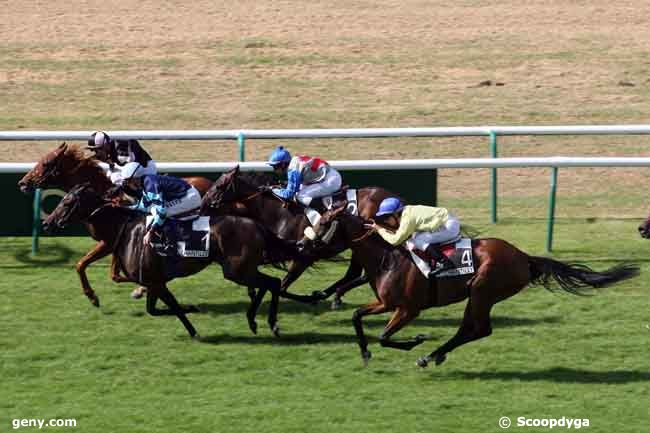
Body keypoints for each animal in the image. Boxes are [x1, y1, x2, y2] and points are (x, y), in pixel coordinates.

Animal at [200, 165, 402, 308]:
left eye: (219, 186)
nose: (202, 204)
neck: (279, 213)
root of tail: (398, 200)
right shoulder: (277, 250)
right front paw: (251, 289)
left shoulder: (302, 257)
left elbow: (282, 287)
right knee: (355, 273)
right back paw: (332, 295)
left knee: (360, 273)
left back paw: (328, 296)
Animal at [302, 205, 636, 364]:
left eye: (324, 223)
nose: (303, 245)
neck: (387, 257)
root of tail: (523, 256)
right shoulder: (386, 303)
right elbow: (356, 316)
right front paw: (365, 353)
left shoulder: (408, 309)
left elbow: (385, 337)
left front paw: (416, 340)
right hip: (478, 295)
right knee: (470, 329)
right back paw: (433, 356)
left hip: (482, 290)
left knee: (479, 329)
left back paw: (429, 354)